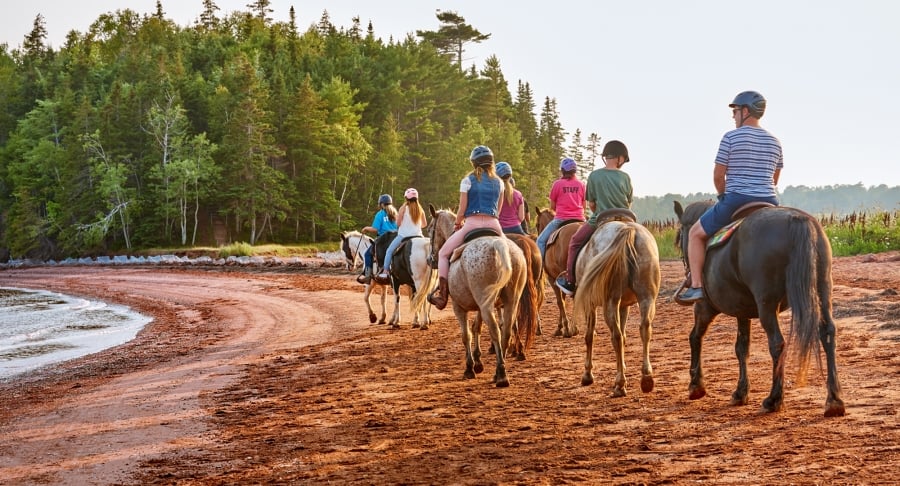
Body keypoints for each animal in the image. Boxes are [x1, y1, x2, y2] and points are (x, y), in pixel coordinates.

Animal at [428, 206, 528, 388]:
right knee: (506, 330)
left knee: (495, 330)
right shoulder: (480, 306)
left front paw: (470, 367)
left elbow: (466, 334)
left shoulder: (459, 307)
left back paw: (501, 375)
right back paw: (498, 371)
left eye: (430, 228)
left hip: (487, 304)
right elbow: (477, 327)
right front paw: (478, 361)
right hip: (510, 301)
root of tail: (499, 245)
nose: (430, 260)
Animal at [536, 206, 584, 338]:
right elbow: (562, 300)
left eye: (537, 224)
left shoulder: (552, 278)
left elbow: (560, 301)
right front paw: (562, 327)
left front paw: (564, 328)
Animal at [572, 217, 664, 398]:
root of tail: (628, 230)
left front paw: (587, 374)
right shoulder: (624, 306)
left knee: (616, 336)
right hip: (647, 298)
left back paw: (620, 384)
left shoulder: (590, 304)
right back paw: (646, 378)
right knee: (644, 329)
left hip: (610, 302)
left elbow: (589, 336)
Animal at [676, 199, 844, 416]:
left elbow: (695, 337)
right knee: (827, 333)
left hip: (767, 304)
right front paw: (740, 392)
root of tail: (797, 219)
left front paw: (696, 385)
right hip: (822, 290)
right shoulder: (741, 310)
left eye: (679, 235)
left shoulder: (705, 306)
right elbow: (741, 347)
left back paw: (774, 399)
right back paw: (834, 400)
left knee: (777, 344)